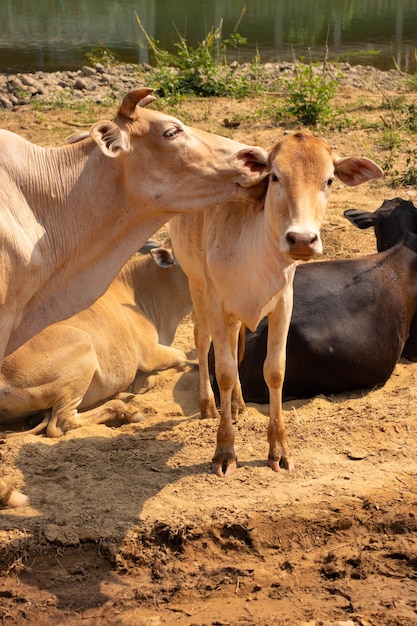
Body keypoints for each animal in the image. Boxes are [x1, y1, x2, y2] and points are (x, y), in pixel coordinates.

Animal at [0, 240, 191, 438]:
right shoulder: (149, 353)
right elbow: (183, 358)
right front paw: (146, 382)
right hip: (82, 354)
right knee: (60, 423)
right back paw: (126, 409)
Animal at [168, 129, 380, 476]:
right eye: (275, 176)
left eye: (329, 180)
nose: (302, 239)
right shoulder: (216, 301)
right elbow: (223, 371)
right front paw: (224, 451)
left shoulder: (283, 303)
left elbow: (275, 370)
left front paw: (278, 449)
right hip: (194, 283)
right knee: (202, 340)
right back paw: (209, 406)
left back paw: (238, 405)